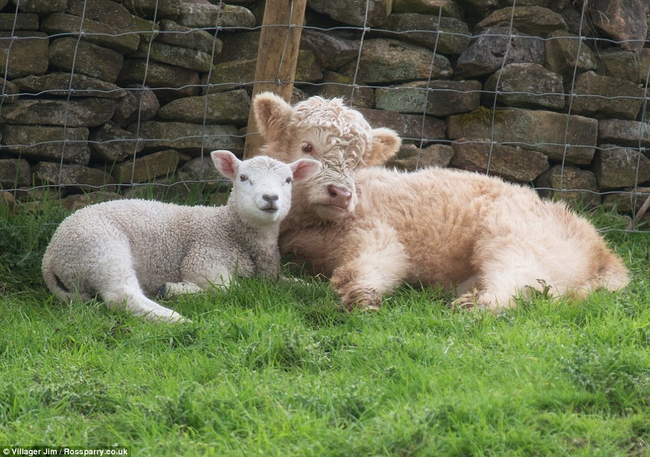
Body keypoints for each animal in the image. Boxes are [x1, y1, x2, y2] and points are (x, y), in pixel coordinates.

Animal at [41, 150, 320, 320]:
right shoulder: (203, 259)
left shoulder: (271, 274)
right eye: (243, 177)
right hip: (101, 249)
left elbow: (302, 283)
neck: (229, 228)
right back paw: (175, 318)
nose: (270, 198)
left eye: (288, 180)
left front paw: (315, 288)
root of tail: (50, 254)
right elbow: (230, 289)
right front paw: (177, 289)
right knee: (121, 296)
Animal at [253, 92, 628, 310]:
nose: (342, 194)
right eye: (307, 147)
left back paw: (477, 307)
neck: (309, 225)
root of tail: (602, 247)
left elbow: (376, 263)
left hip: (514, 236)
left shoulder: (376, 233)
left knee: (520, 282)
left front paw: (361, 295)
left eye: (357, 161)